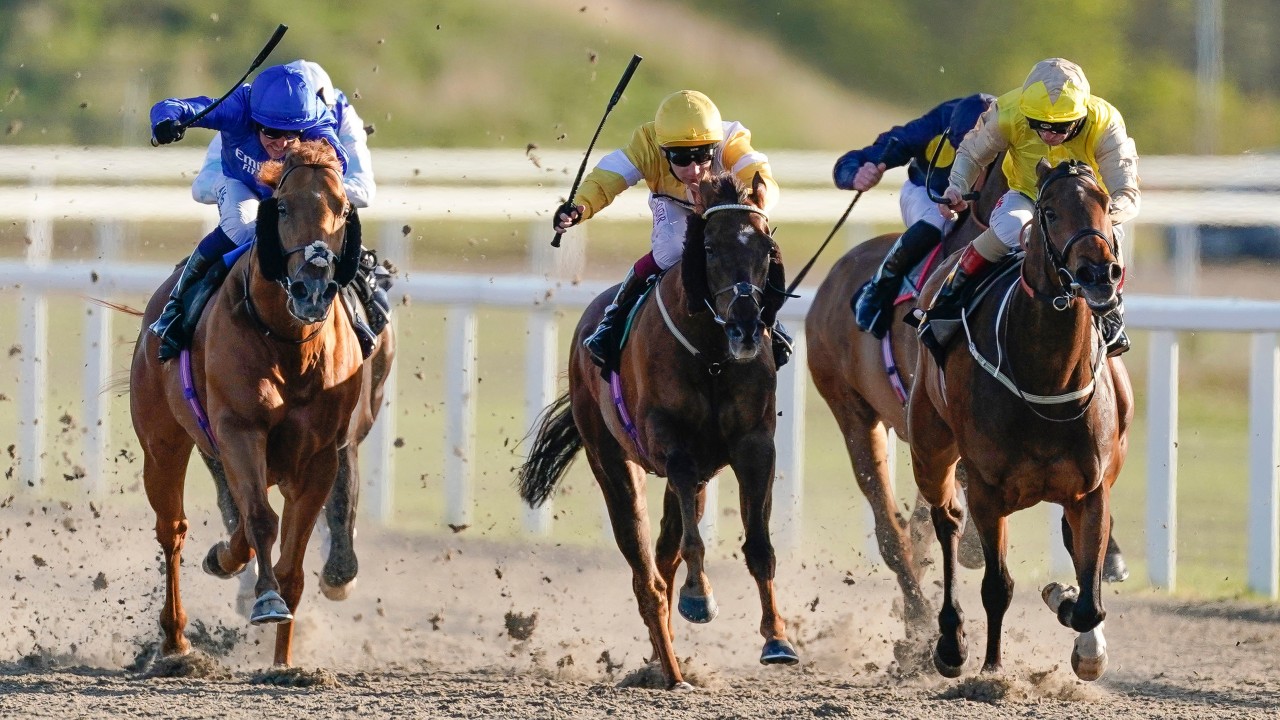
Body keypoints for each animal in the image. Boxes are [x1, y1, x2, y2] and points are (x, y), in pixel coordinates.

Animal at [129, 139, 371, 667]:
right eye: (281, 207)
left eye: (343, 209)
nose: (312, 288)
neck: (289, 344)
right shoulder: (240, 430)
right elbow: (261, 519)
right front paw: (265, 598)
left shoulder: (319, 456)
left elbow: (292, 558)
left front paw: (284, 663)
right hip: (163, 444)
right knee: (173, 529)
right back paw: (176, 641)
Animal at [519, 172, 798, 690]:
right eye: (708, 247)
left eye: (766, 247)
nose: (747, 327)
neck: (711, 356)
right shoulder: (673, 446)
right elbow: (692, 543)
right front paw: (700, 597)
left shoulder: (753, 446)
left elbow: (759, 544)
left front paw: (777, 639)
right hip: (611, 460)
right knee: (646, 573)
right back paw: (670, 671)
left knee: (664, 561)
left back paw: (666, 658)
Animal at [908, 159, 1132, 681]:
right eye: (1048, 211)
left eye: (1105, 204)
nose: (1099, 273)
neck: (1048, 381)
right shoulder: (988, 490)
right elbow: (997, 586)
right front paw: (991, 669)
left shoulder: (1091, 488)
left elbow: (1089, 599)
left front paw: (1070, 611)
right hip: (930, 444)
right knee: (946, 522)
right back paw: (951, 641)